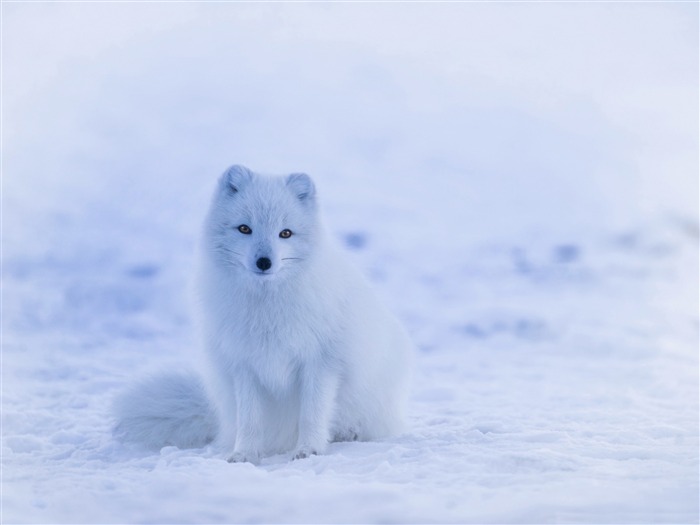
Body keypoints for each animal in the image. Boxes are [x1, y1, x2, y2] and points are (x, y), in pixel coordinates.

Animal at [112, 165, 412, 462]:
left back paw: (348, 433)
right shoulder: (244, 365)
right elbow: (250, 420)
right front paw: (244, 454)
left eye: (285, 233)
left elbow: (312, 414)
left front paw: (309, 450)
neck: (266, 307)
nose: (264, 262)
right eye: (245, 228)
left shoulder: (321, 362)